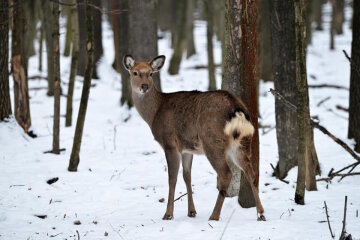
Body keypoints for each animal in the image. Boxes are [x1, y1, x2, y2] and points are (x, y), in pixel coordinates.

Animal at [124, 54, 268, 221]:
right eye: (135, 72)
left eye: (150, 73)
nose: (145, 86)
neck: (154, 113)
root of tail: (237, 110)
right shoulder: (187, 149)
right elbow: (187, 176)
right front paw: (191, 211)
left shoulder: (169, 143)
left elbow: (172, 178)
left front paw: (168, 214)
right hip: (242, 143)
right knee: (251, 172)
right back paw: (261, 213)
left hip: (212, 141)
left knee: (226, 174)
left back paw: (214, 216)